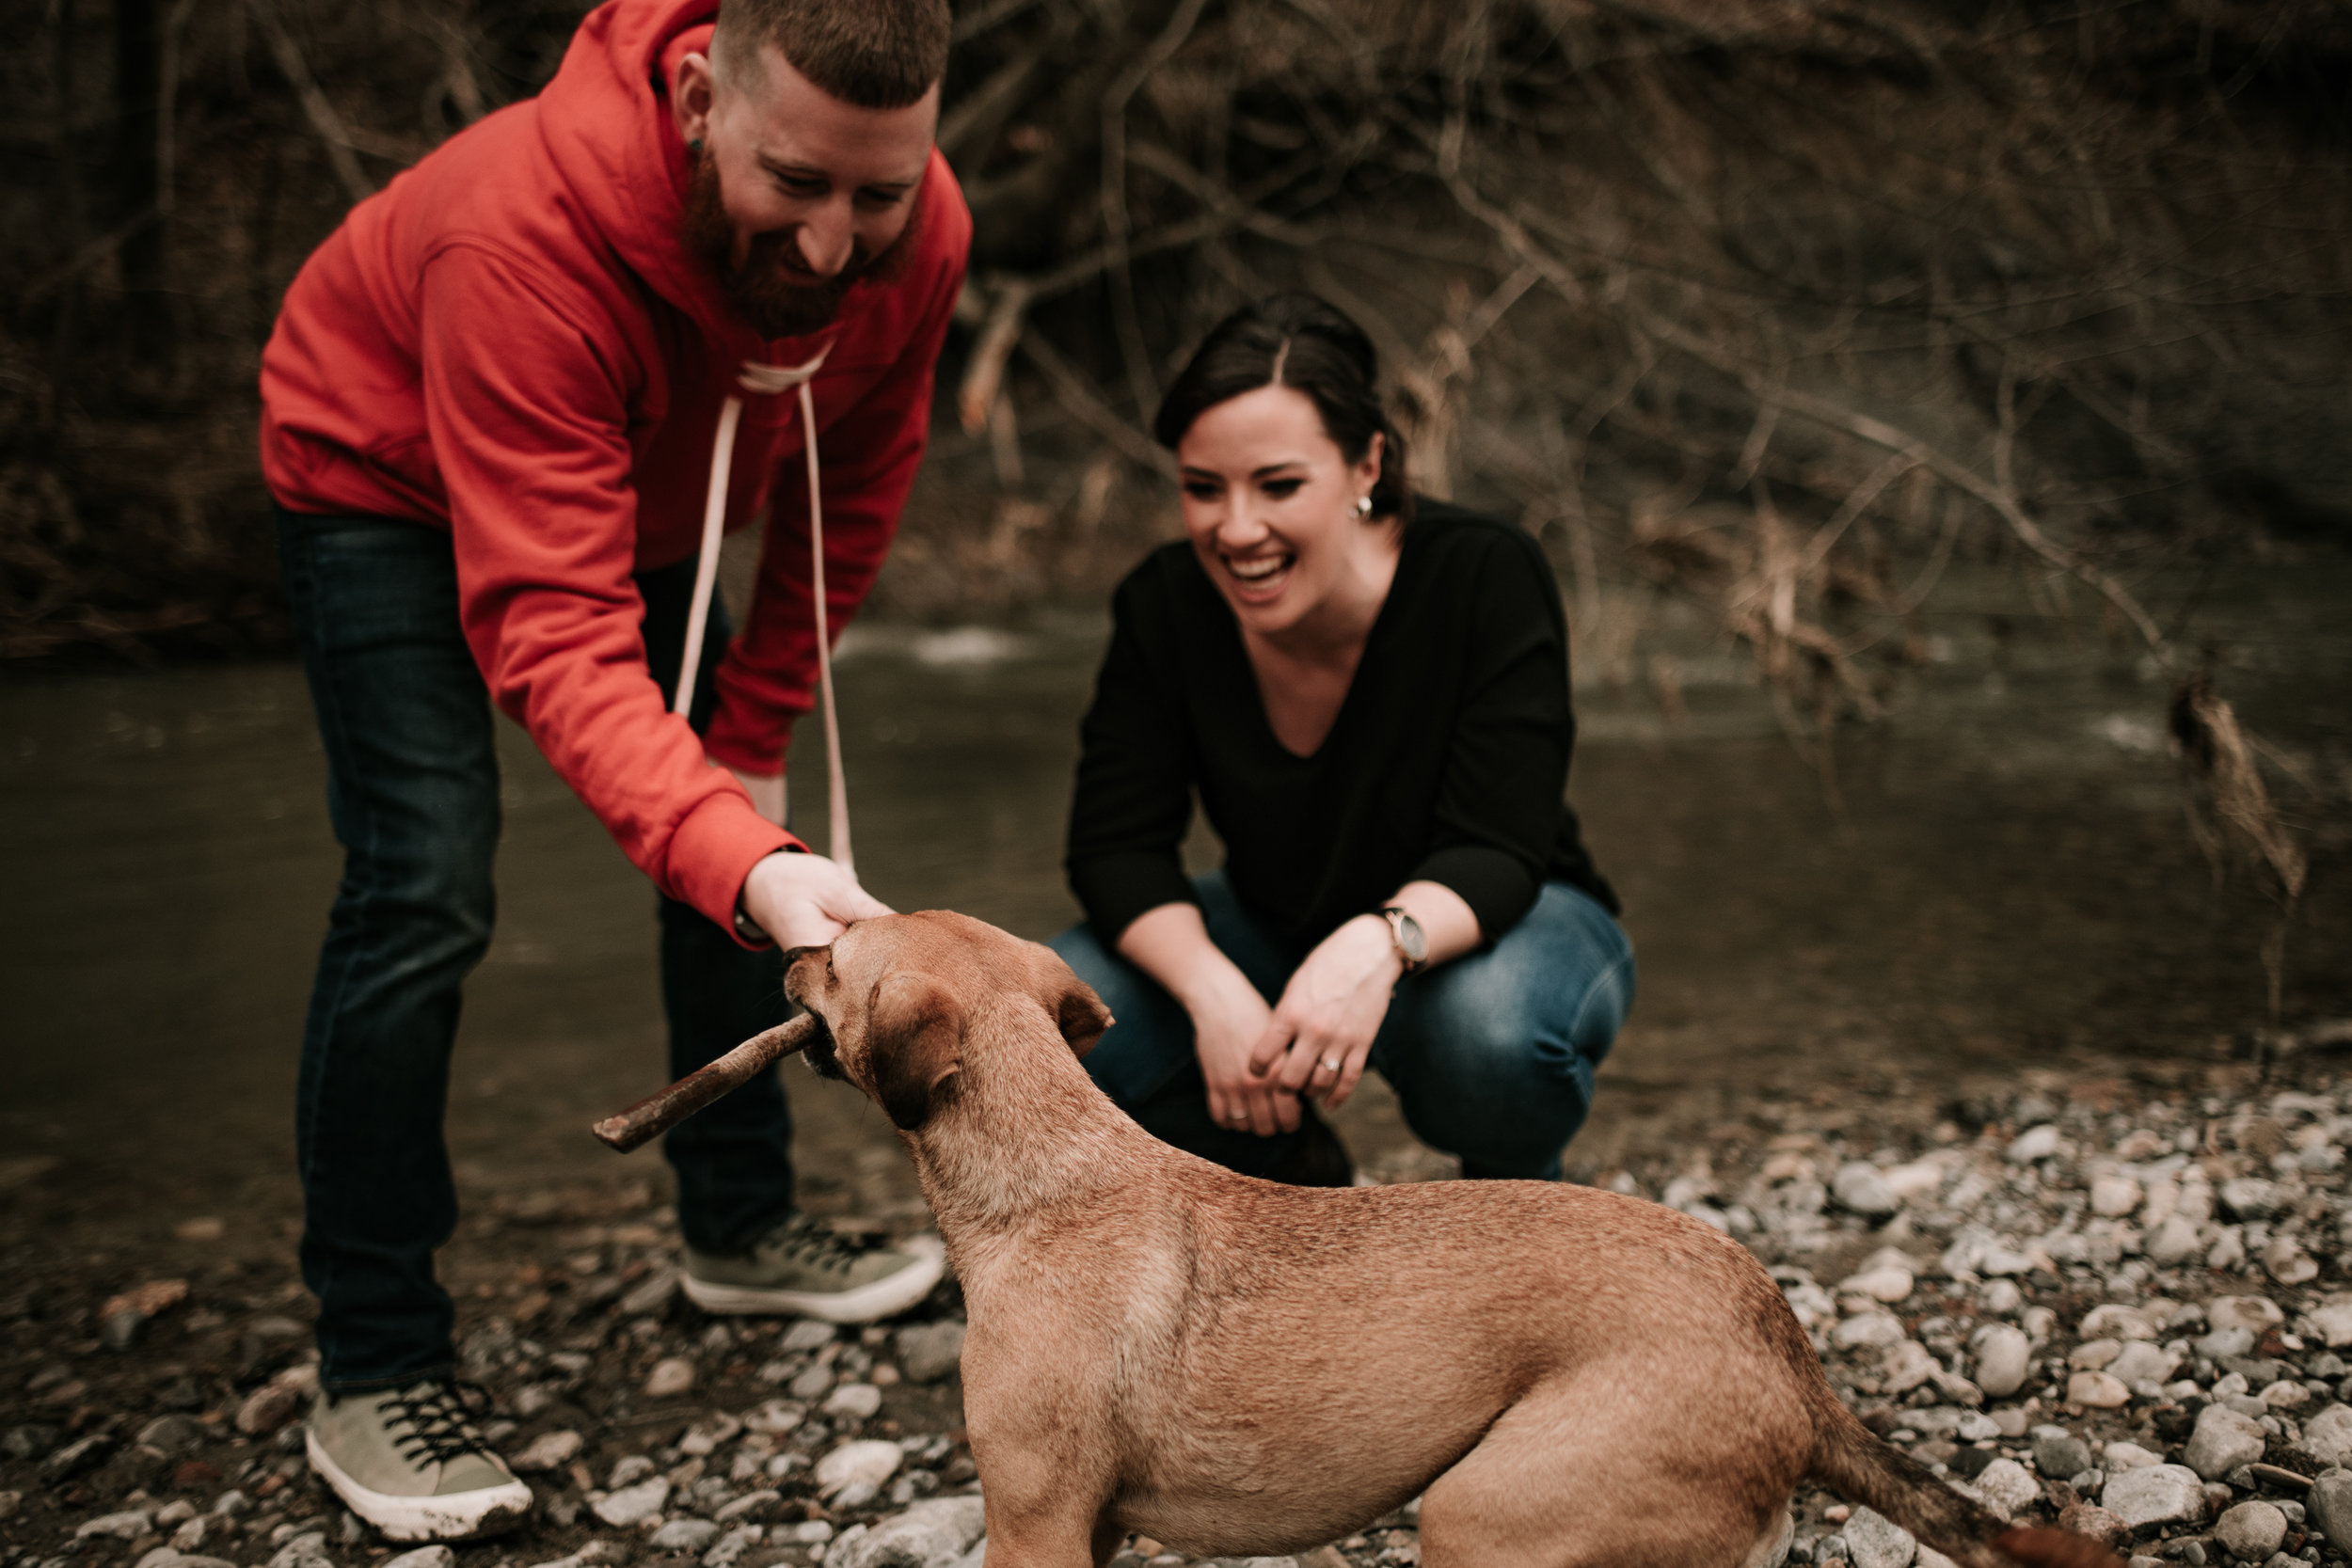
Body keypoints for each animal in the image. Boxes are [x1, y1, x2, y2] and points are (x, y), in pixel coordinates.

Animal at [781, 907, 2126, 1568]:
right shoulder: (1093, 1526)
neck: (1050, 1173)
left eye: (837, 958)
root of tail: (1790, 1360)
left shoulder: (1036, 1523)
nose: (787, 940)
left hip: (1484, 1520)